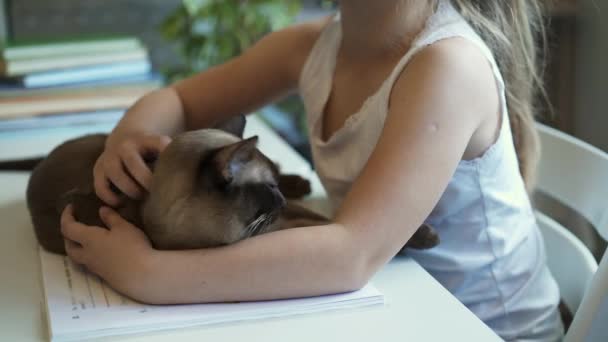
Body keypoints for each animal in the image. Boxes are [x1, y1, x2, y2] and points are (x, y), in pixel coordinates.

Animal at [0, 117, 440, 254]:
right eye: (266, 191)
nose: (280, 195)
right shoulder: (268, 227)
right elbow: (323, 224)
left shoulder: (278, 219)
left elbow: (325, 219)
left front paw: (424, 236)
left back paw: (300, 179)